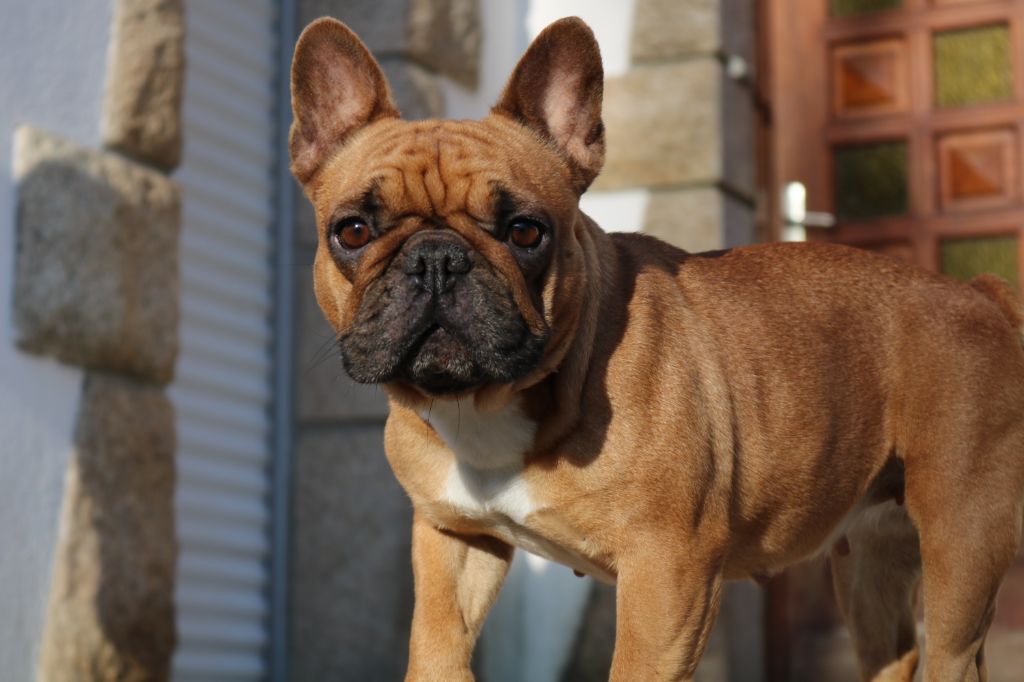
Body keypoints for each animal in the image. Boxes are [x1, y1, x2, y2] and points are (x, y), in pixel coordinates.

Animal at [288, 15, 1024, 679]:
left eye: (526, 231)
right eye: (352, 230)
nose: (436, 259)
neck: (493, 407)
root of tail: (980, 293)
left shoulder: (668, 575)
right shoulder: (453, 541)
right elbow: (437, 653)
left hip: (960, 543)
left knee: (952, 650)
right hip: (873, 561)